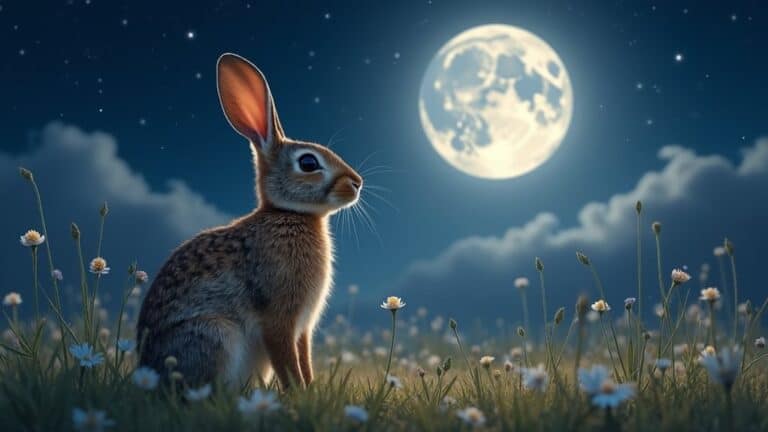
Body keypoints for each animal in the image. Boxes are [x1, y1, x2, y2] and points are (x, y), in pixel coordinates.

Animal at [136, 53, 363, 390]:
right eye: (309, 162)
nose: (357, 183)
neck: (288, 213)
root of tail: (146, 371)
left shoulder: (302, 328)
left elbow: (304, 359)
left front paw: (311, 390)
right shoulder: (279, 319)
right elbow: (288, 362)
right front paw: (300, 394)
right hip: (216, 335)